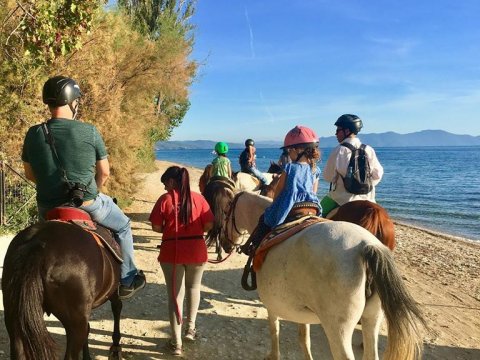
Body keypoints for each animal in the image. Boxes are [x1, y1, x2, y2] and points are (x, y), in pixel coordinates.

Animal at [2, 221, 122, 358]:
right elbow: (117, 307)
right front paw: (116, 347)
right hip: (75, 324)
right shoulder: (113, 292)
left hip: (14, 319)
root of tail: (38, 244)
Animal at [216, 191, 426, 360]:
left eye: (226, 213)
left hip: (338, 331)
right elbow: (304, 339)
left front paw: (273, 355)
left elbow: (274, 332)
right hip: (372, 319)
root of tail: (366, 246)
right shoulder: (302, 313)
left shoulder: (271, 306)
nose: (224, 244)